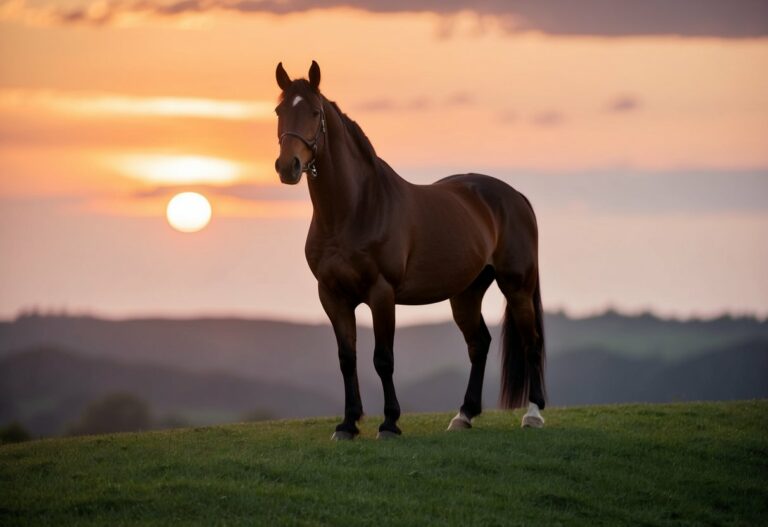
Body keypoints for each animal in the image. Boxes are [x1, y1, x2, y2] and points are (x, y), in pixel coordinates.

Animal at [272, 60, 544, 442]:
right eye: (279, 111)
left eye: (314, 111)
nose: (288, 167)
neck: (355, 209)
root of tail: (515, 196)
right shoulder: (332, 295)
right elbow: (347, 358)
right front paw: (348, 424)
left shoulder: (381, 293)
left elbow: (383, 359)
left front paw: (389, 423)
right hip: (466, 292)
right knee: (479, 344)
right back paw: (464, 415)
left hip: (517, 286)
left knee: (530, 342)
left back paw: (533, 414)